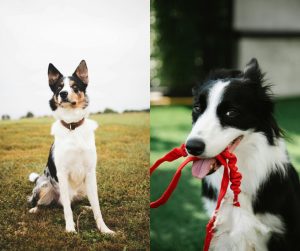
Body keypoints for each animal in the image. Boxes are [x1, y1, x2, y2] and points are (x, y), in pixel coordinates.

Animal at [27, 59, 114, 234]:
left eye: (74, 86)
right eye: (59, 87)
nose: (63, 94)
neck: (72, 126)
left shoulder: (90, 172)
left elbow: (97, 206)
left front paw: (104, 229)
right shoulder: (62, 173)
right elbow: (67, 209)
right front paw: (70, 229)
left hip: (82, 188)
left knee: (76, 203)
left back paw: (86, 207)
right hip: (44, 185)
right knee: (41, 202)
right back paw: (34, 209)